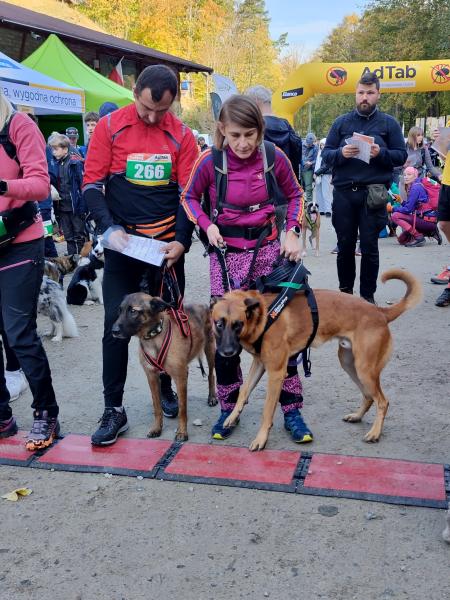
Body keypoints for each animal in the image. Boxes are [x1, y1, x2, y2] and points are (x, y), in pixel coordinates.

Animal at [211, 268, 422, 450]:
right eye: (219, 324)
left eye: (238, 324)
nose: (227, 352)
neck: (264, 314)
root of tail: (380, 312)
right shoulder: (260, 363)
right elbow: (244, 391)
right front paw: (231, 417)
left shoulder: (276, 373)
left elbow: (267, 411)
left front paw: (261, 439)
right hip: (350, 364)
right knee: (369, 396)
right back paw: (357, 416)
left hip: (365, 369)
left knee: (383, 401)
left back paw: (375, 433)